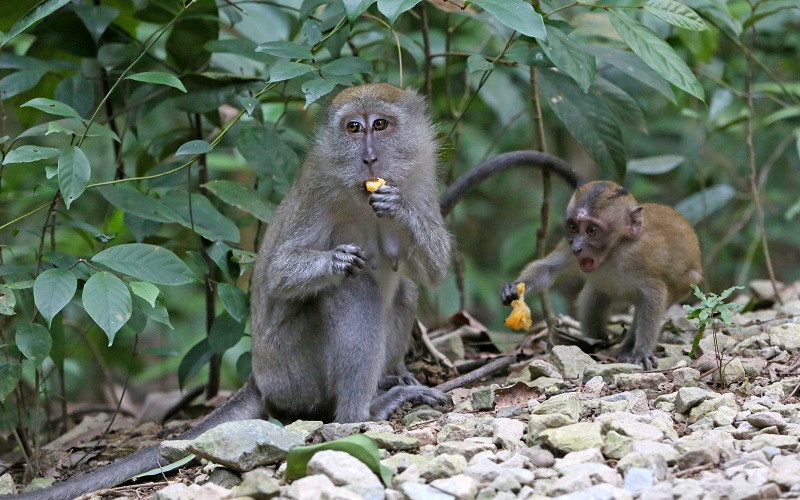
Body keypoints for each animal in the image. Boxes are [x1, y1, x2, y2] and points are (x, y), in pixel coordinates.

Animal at [9, 84, 580, 498]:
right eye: (353, 128)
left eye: (381, 125)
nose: (369, 158)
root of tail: (261, 379)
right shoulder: (319, 194)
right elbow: (282, 274)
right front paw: (333, 261)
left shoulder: (420, 182)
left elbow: (431, 270)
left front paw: (398, 211)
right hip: (294, 376)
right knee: (354, 293)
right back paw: (362, 412)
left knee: (401, 293)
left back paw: (390, 376)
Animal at [504, 182, 704, 370]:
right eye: (573, 227)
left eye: (592, 230)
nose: (577, 248)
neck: (613, 251)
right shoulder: (568, 245)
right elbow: (548, 268)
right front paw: (513, 288)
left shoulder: (641, 257)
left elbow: (655, 295)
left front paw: (642, 352)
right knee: (594, 300)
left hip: (686, 284)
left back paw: (626, 347)